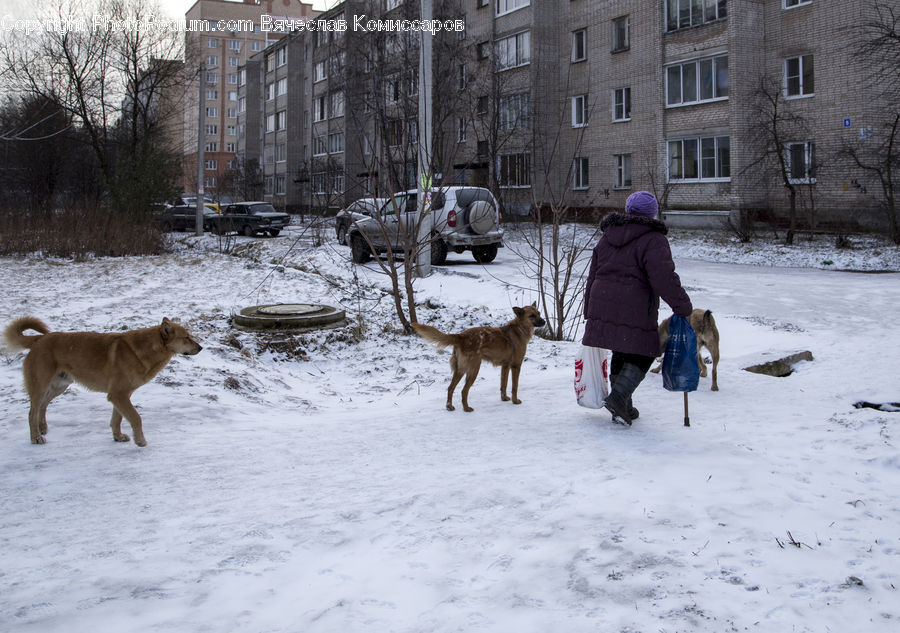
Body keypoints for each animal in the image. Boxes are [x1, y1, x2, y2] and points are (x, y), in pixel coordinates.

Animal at [3, 316, 202, 444]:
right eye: (186, 337)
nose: (200, 348)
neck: (146, 349)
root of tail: (39, 339)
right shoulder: (119, 394)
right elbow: (135, 418)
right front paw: (140, 441)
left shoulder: (119, 396)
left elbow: (117, 419)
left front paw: (118, 437)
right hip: (40, 386)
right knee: (32, 411)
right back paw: (36, 437)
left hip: (59, 385)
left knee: (42, 406)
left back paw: (42, 428)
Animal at [412, 304, 544, 412]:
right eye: (532, 316)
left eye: (539, 313)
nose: (544, 322)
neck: (519, 330)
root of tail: (460, 336)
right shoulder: (516, 365)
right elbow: (514, 387)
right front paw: (515, 401)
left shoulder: (505, 366)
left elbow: (503, 385)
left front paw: (504, 398)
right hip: (474, 369)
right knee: (464, 390)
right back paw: (466, 408)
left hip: (459, 370)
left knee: (450, 388)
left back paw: (449, 406)